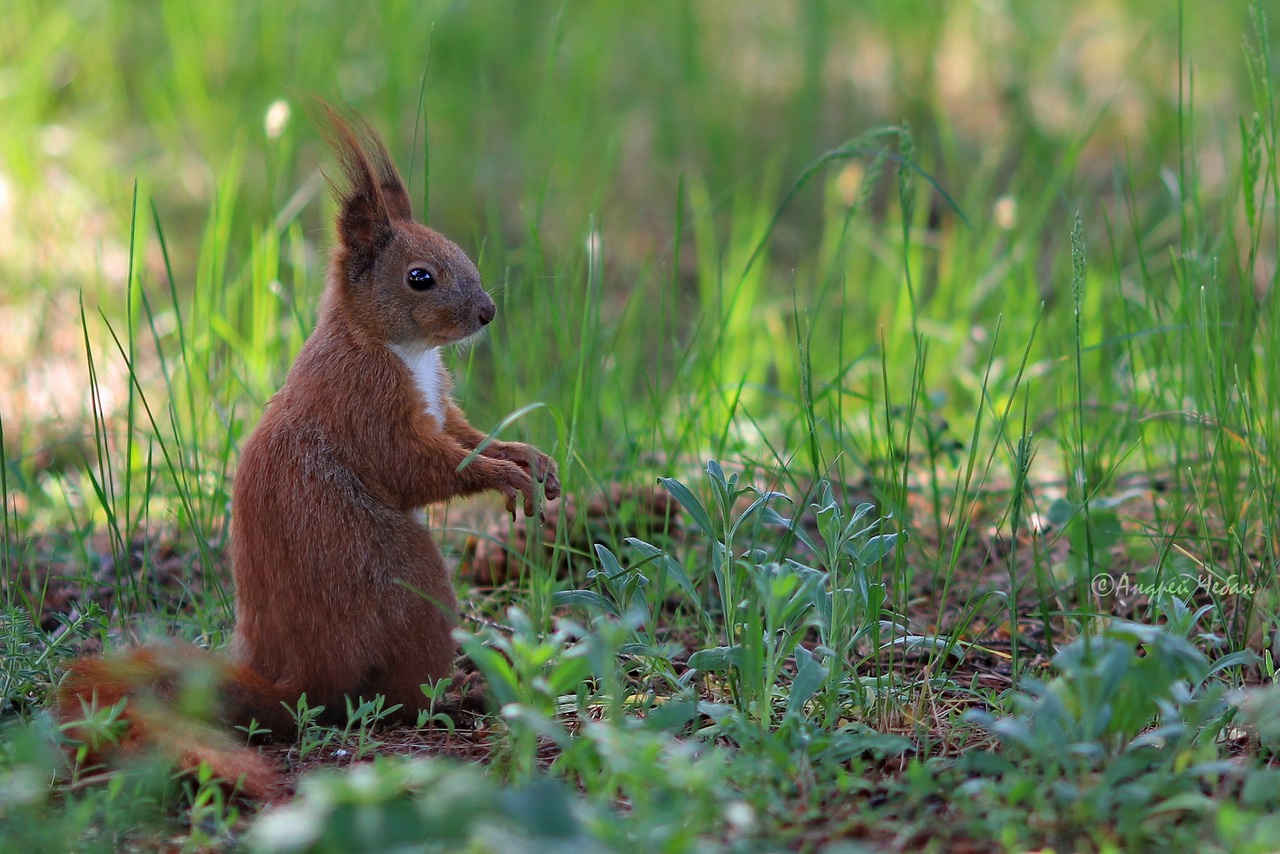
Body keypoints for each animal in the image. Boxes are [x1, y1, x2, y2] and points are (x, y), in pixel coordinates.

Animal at [58, 106, 560, 804]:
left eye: (462, 253)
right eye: (420, 277)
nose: (486, 313)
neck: (395, 348)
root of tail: (299, 684)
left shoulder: (441, 407)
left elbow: (467, 436)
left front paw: (527, 458)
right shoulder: (362, 404)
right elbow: (417, 467)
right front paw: (505, 477)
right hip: (411, 585)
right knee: (398, 698)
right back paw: (454, 697)